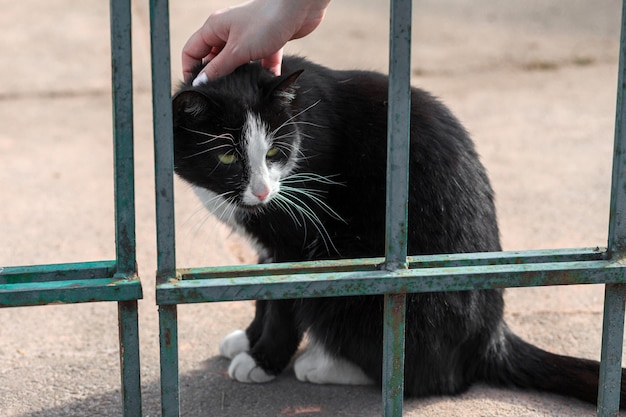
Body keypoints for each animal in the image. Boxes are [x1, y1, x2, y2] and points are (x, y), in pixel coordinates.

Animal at [172, 56, 624, 406]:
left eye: (275, 153)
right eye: (227, 155)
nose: (263, 190)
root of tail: (490, 338)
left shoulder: (297, 237)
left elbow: (283, 304)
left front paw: (263, 360)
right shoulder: (270, 246)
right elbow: (263, 294)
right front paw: (248, 340)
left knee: (430, 379)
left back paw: (323, 365)